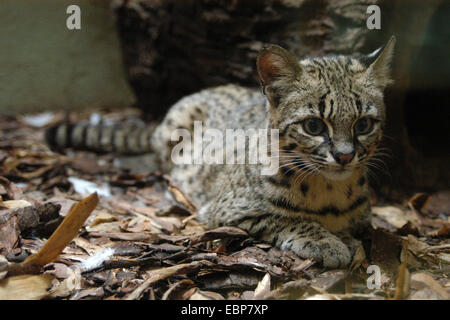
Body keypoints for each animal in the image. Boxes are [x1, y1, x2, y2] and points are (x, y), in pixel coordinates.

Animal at [47, 37, 396, 268]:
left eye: (364, 124)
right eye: (313, 125)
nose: (345, 156)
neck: (330, 188)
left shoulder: (363, 215)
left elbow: (354, 226)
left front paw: (345, 238)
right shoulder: (228, 210)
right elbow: (287, 218)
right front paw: (325, 241)